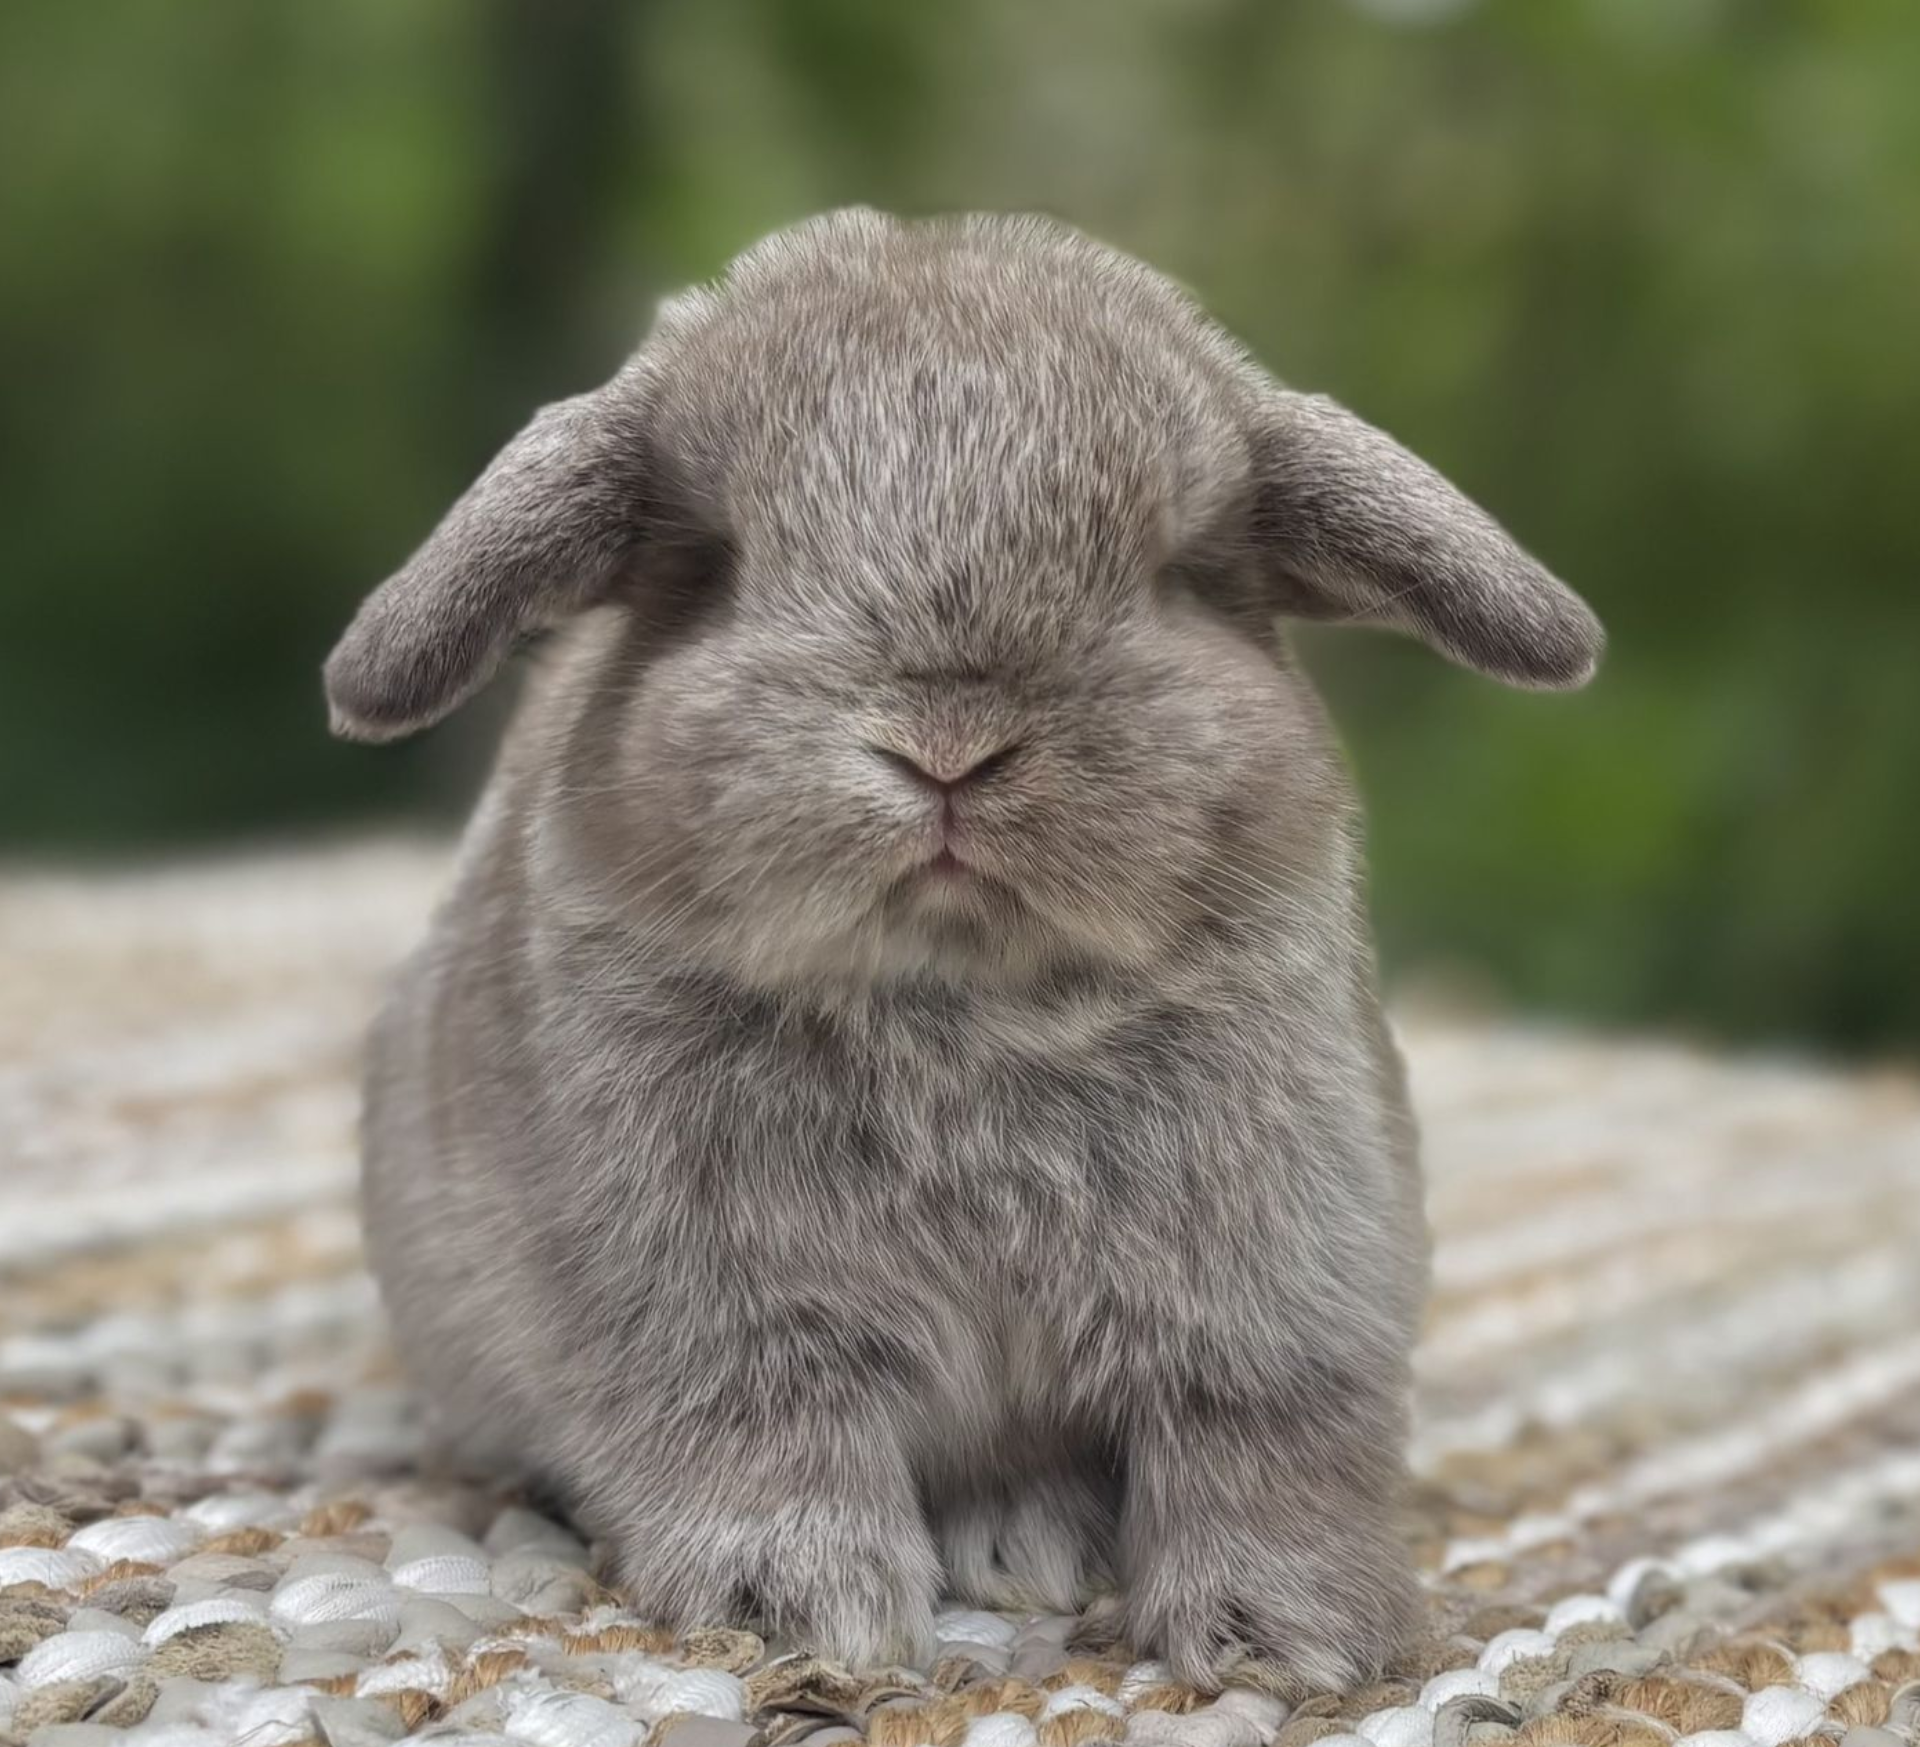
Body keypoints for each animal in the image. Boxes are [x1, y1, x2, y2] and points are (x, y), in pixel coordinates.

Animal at [324, 209, 1601, 1690]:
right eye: (713, 565)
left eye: (1175, 574)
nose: (949, 742)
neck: (957, 999)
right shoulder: (709, 1313)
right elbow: (764, 1437)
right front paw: (800, 1608)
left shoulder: (1284, 1286)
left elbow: (1260, 1441)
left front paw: (1288, 1636)